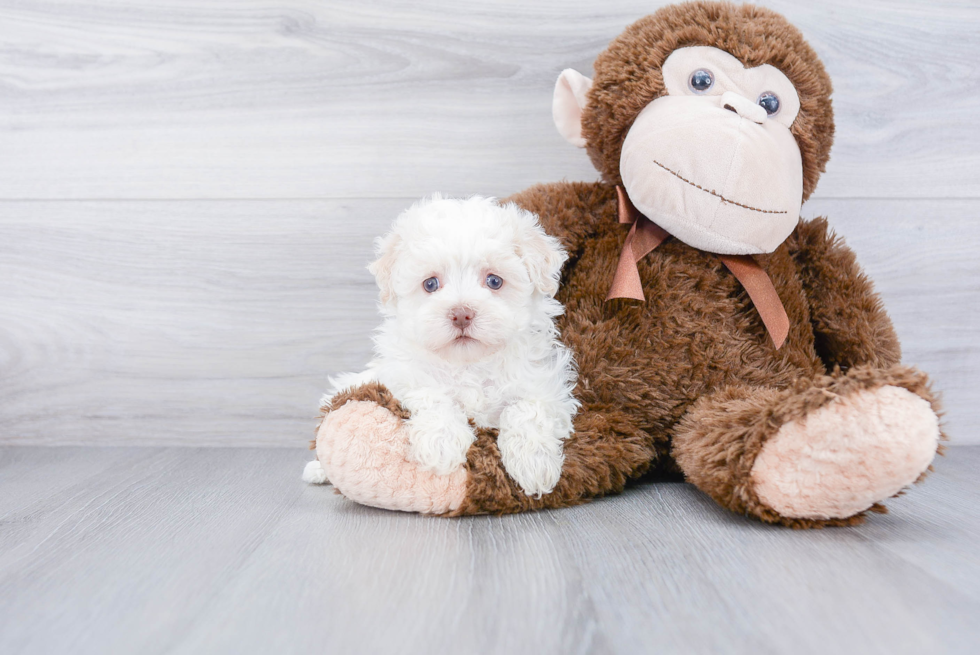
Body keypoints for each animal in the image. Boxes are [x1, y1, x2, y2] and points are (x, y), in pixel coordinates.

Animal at [304, 195, 576, 498]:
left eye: (494, 281)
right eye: (430, 284)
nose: (461, 314)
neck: (469, 364)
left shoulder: (546, 385)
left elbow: (527, 409)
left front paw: (534, 465)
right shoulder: (403, 376)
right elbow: (432, 394)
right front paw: (441, 446)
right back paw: (317, 470)